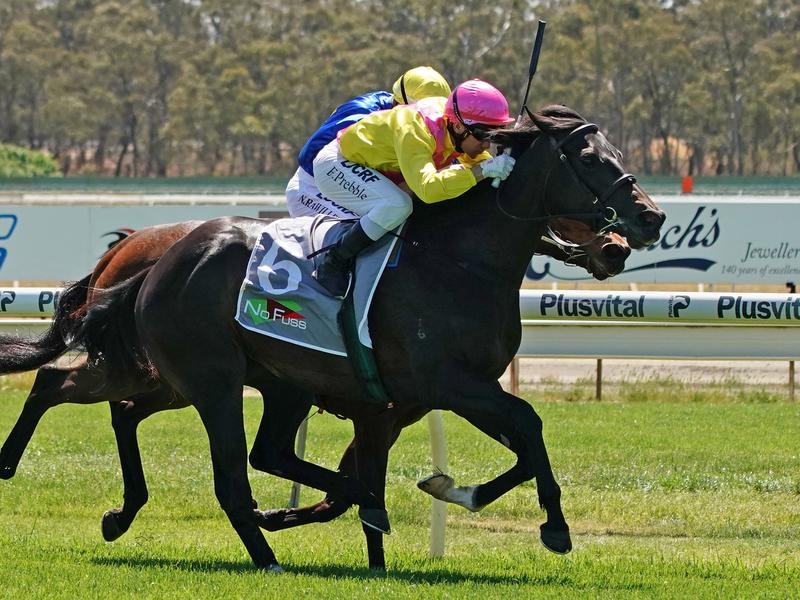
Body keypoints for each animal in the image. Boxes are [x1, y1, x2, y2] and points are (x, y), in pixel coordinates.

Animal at [2, 105, 664, 571]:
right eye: (589, 158)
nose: (647, 220)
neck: (459, 261)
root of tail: (156, 258)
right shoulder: (444, 383)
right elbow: (528, 423)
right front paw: (553, 527)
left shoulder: (438, 394)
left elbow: (523, 441)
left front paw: (451, 493)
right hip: (208, 380)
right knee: (225, 473)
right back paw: (265, 557)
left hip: (235, 379)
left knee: (114, 401)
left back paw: (109, 506)